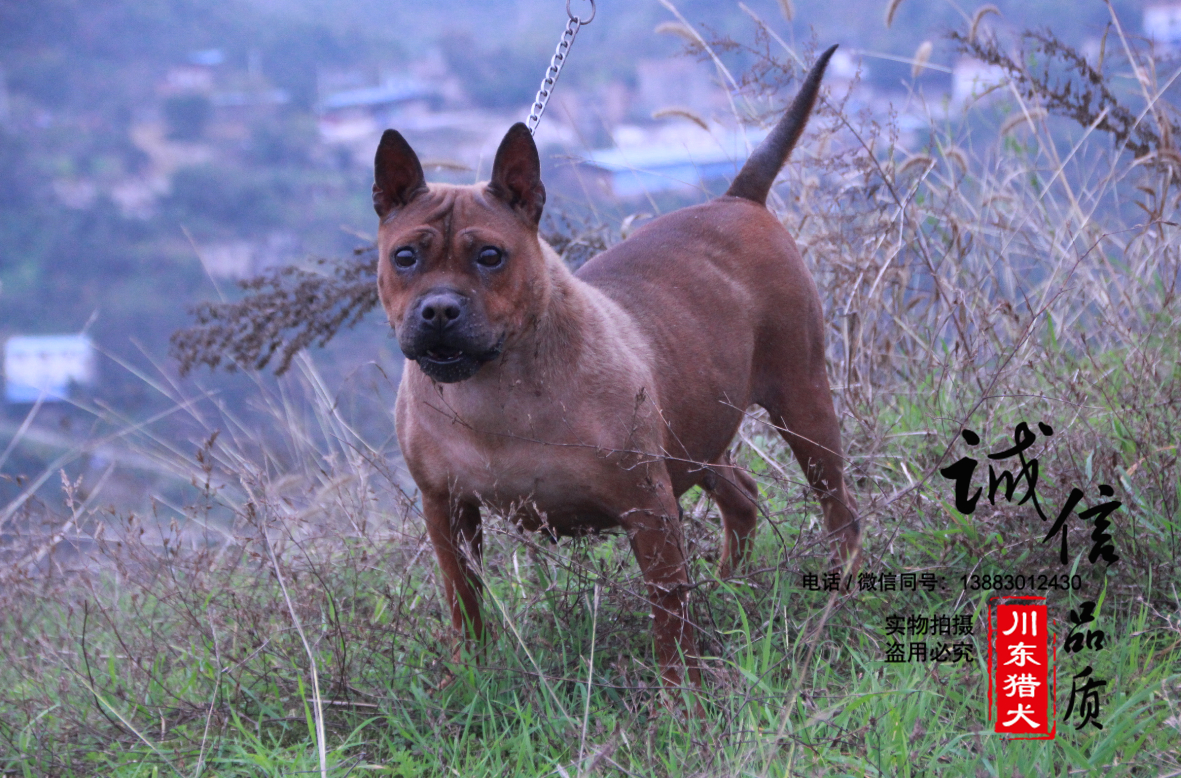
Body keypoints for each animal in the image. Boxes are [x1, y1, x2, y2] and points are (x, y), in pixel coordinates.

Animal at [373, 47, 864, 694]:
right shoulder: (447, 512)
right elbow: (465, 602)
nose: (438, 310)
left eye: (490, 256)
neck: (495, 385)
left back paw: (839, 593)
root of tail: (738, 199)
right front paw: (469, 675)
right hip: (696, 432)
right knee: (742, 497)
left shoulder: (648, 510)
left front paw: (681, 695)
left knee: (837, 508)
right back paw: (729, 585)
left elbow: (668, 611)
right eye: (404, 256)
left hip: (802, 408)